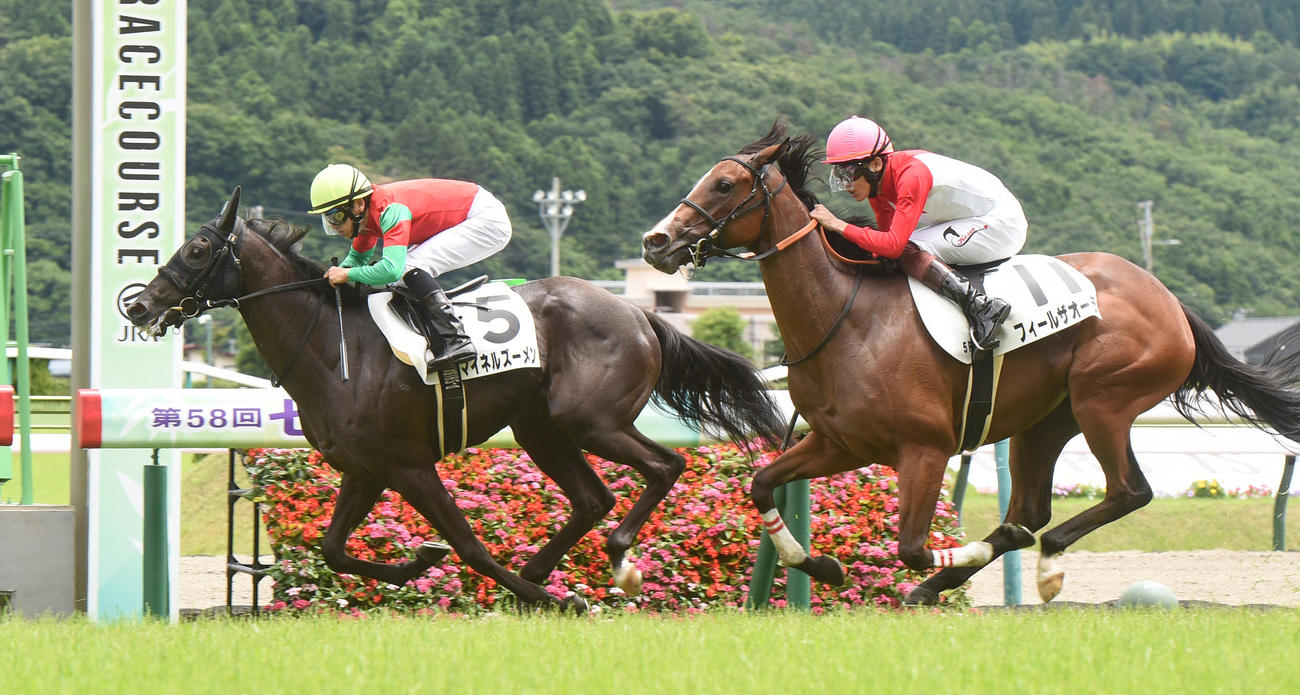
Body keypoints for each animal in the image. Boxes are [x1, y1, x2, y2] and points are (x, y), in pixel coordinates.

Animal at [126, 187, 786, 612]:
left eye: (197, 250)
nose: (137, 305)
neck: (334, 347)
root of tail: (637, 311)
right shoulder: (364, 470)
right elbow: (334, 550)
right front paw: (419, 562)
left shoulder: (410, 466)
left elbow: (469, 546)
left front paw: (544, 598)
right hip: (541, 429)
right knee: (593, 497)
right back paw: (543, 566)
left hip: (589, 420)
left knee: (665, 465)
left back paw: (616, 562)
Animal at [640, 120, 1300, 605]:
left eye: (725, 184)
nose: (655, 241)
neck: (848, 320)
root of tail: (1168, 299)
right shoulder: (839, 443)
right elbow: (761, 485)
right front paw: (824, 566)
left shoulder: (925, 448)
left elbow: (909, 547)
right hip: (1047, 418)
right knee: (1029, 511)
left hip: (1104, 400)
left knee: (1126, 492)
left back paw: (1037, 564)